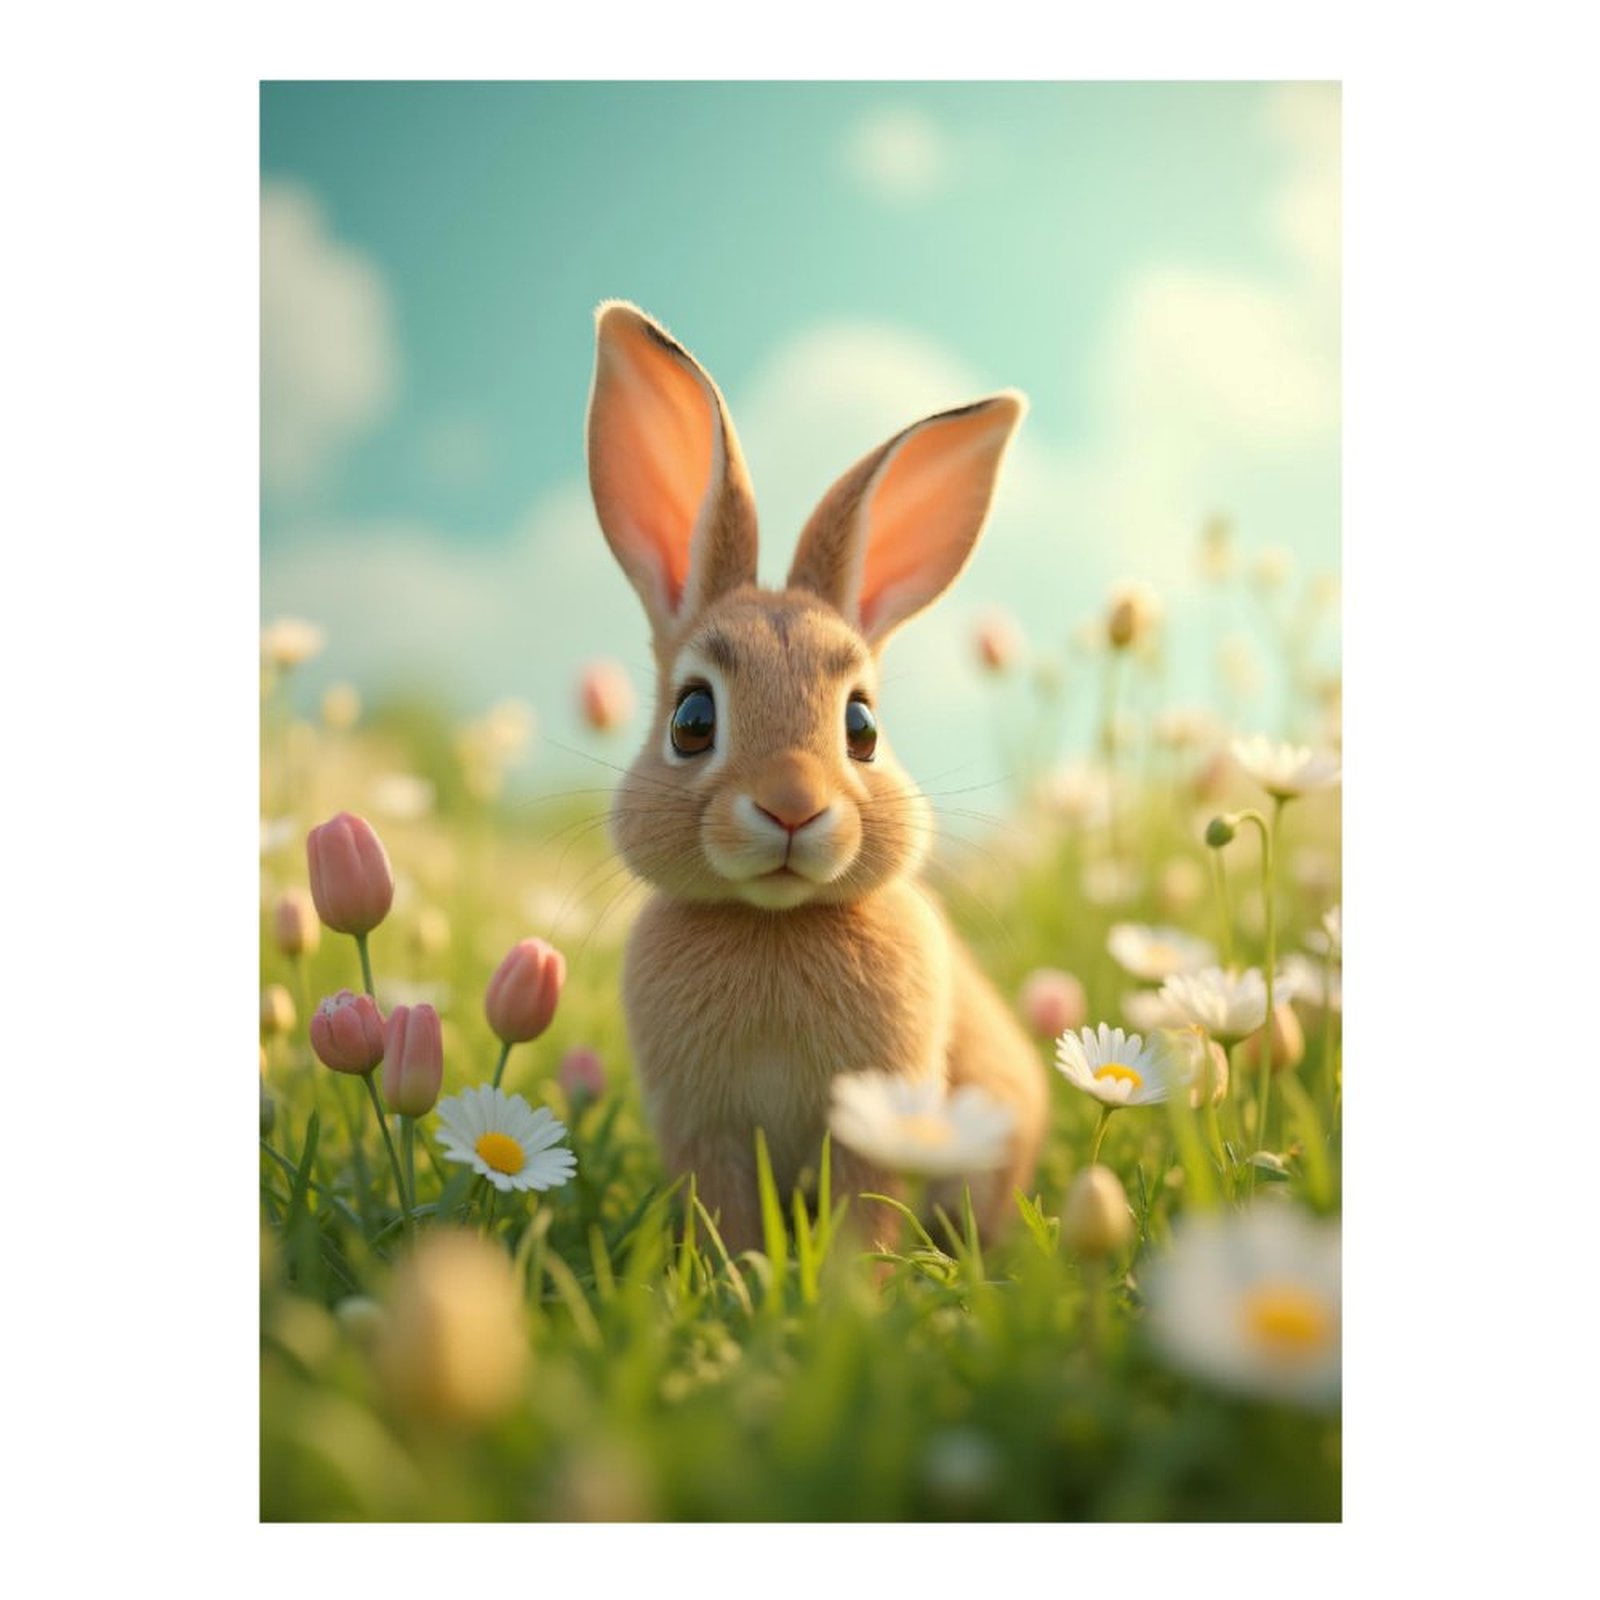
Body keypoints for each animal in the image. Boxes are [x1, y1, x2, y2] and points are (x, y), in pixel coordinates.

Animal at [585, 300, 1049, 1253]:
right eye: (693, 719)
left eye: (862, 727)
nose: (793, 807)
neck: (776, 921)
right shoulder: (707, 1132)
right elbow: (727, 1214)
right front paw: (740, 1279)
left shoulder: (877, 1119)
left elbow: (863, 1210)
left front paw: (845, 1283)